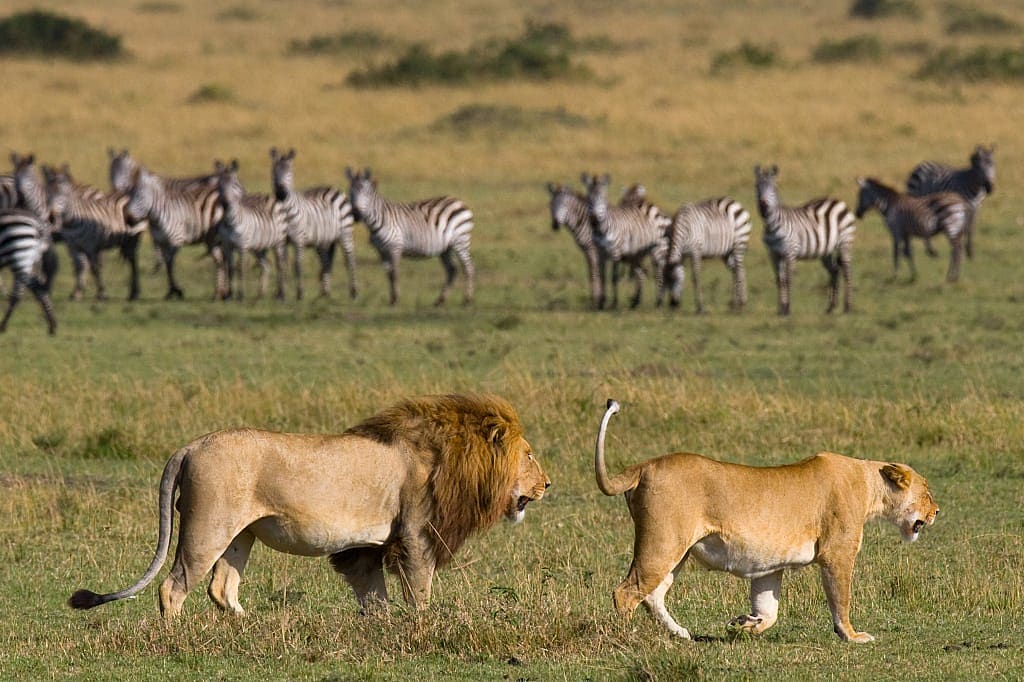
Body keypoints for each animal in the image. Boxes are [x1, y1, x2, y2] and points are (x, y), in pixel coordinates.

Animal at [69, 393, 550, 618]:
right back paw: (176, 638)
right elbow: (419, 591)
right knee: (174, 587)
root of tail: (189, 446)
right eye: (529, 455)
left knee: (221, 588)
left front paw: (380, 626)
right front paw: (421, 626)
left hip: (241, 534)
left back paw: (251, 628)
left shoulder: (367, 546)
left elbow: (374, 594)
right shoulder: (415, 535)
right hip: (208, 527)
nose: (548, 483)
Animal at [594, 399, 938, 643]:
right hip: (663, 542)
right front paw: (853, 636)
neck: (868, 484)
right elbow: (841, 599)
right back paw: (628, 637)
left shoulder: (770, 566)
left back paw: (681, 633)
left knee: (652, 594)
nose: (937, 511)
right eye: (927, 491)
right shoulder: (837, 553)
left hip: (677, 550)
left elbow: (768, 609)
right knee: (626, 591)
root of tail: (644, 465)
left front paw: (746, 624)